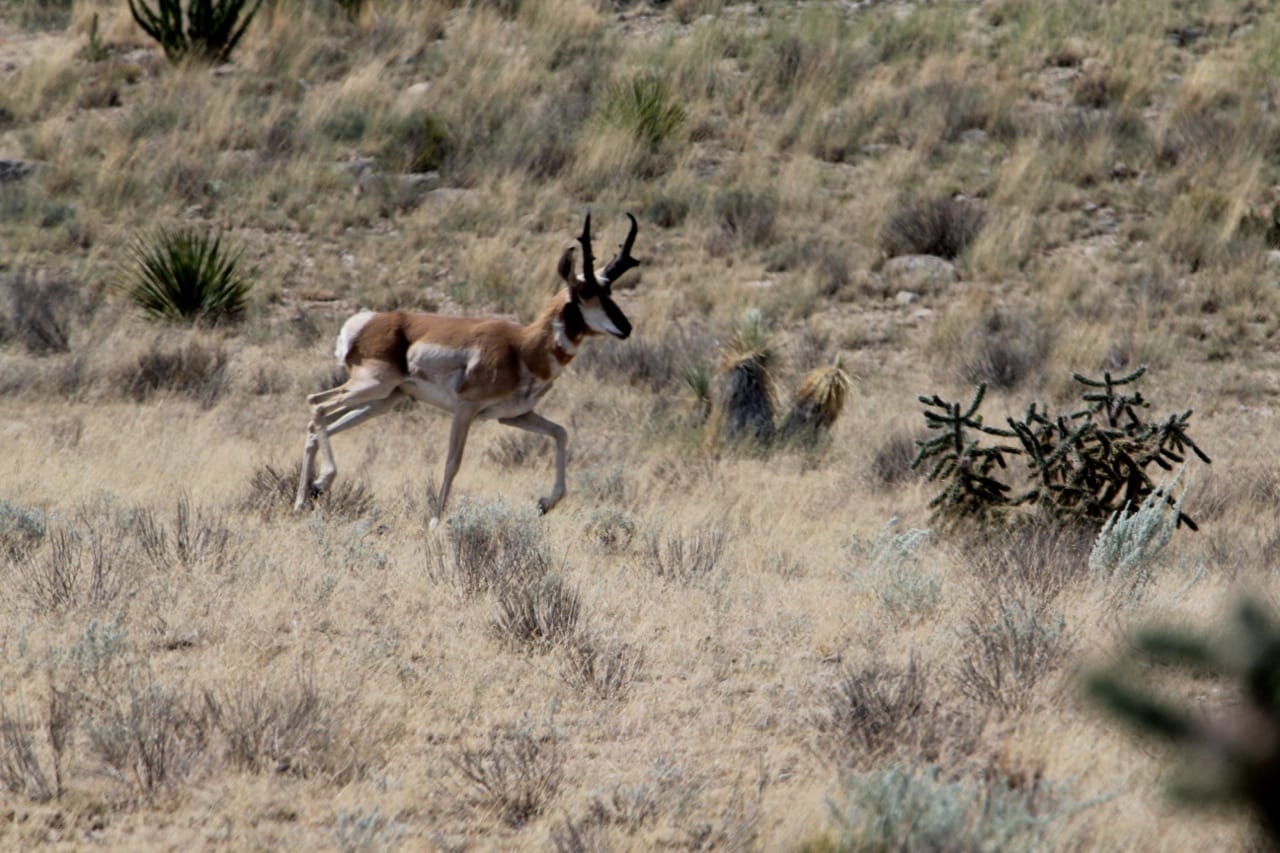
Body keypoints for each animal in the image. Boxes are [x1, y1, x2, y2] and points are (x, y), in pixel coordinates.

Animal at [296, 211, 640, 525]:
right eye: (586, 292)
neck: (522, 347)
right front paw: (435, 522)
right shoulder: (466, 408)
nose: (626, 328)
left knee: (318, 423)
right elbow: (452, 462)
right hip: (372, 386)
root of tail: (366, 323)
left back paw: (306, 496)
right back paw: (322, 481)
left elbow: (560, 432)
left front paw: (545, 503)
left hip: (383, 400)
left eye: (609, 291)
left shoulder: (513, 416)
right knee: (316, 404)